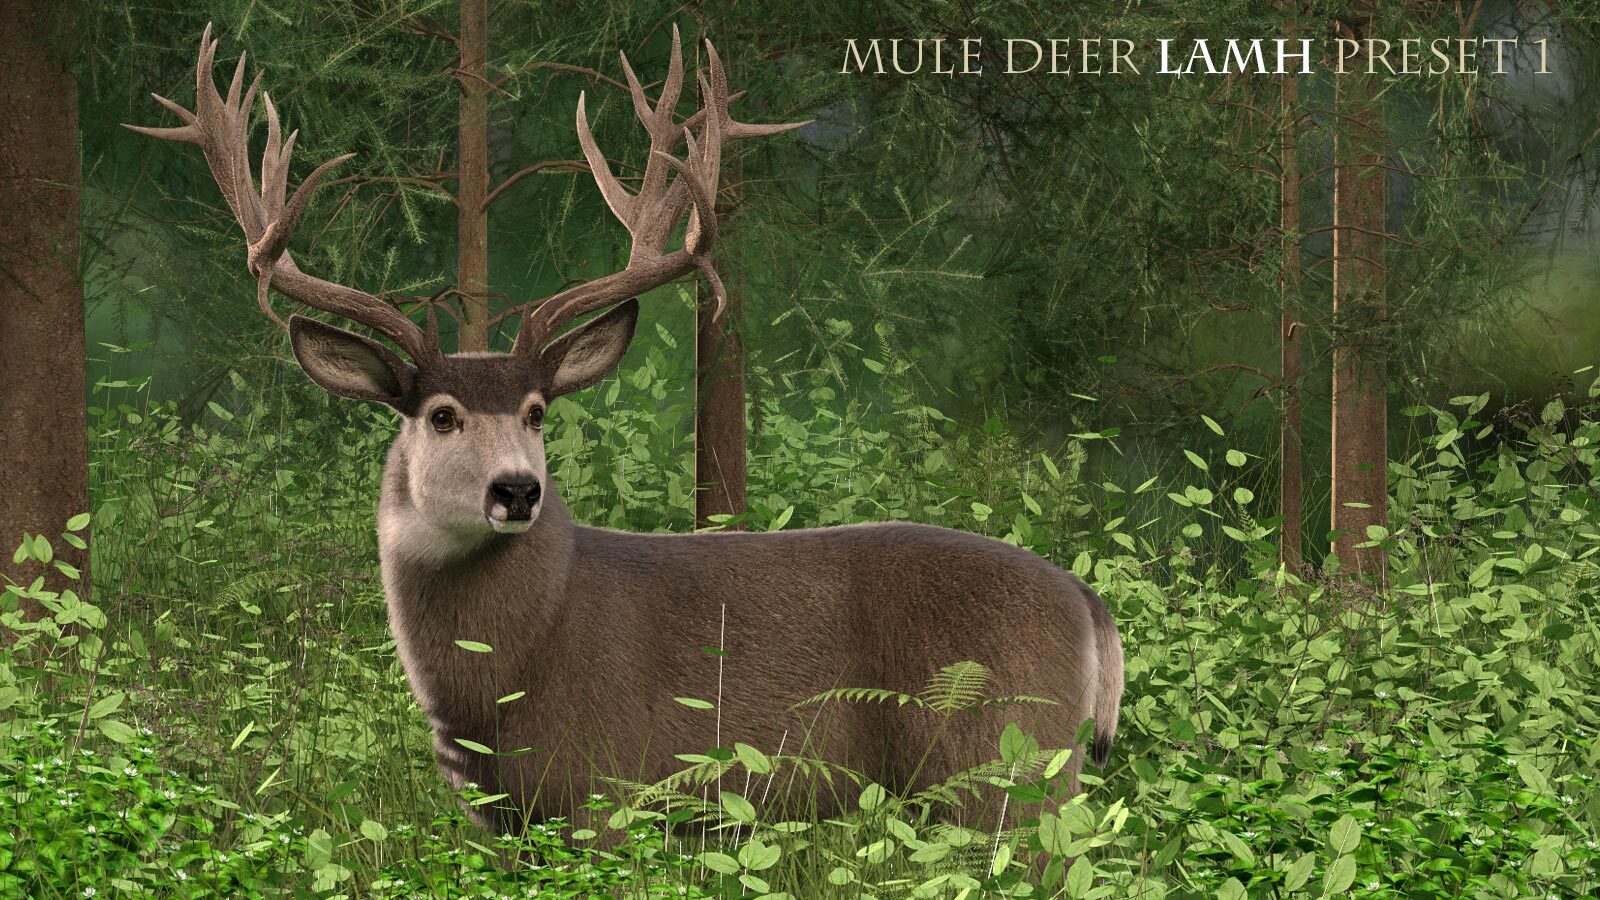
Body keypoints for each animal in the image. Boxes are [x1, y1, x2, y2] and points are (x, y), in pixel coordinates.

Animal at [129, 25, 1125, 835]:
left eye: (537, 412)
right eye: (442, 414)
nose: (517, 488)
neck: (513, 672)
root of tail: (1088, 606)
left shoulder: (607, 791)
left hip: (1003, 768)